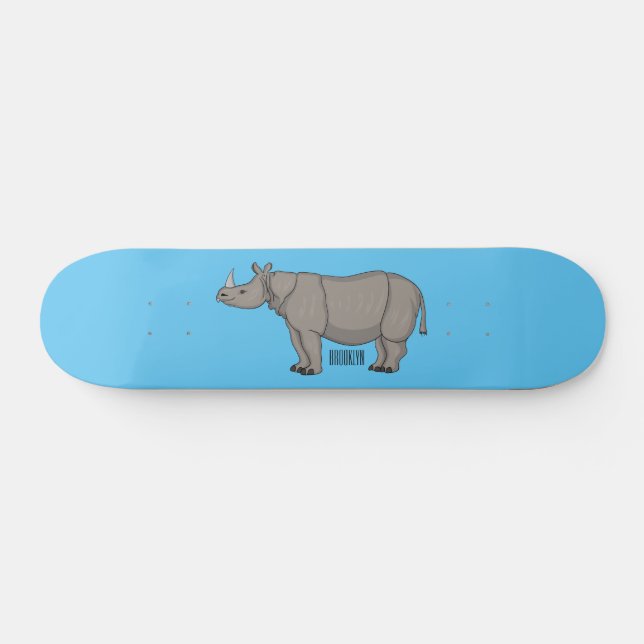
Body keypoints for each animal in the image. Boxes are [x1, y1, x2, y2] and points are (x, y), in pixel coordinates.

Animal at [216, 262, 427, 375]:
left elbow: (311, 347)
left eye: (243, 291)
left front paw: (310, 372)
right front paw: (297, 368)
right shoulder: (294, 326)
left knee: (391, 338)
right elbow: (299, 347)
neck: (274, 286)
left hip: (399, 297)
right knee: (381, 338)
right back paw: (375, 368)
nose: (219, 295)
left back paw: (388, 369)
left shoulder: (309, 328)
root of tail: (417, 288)